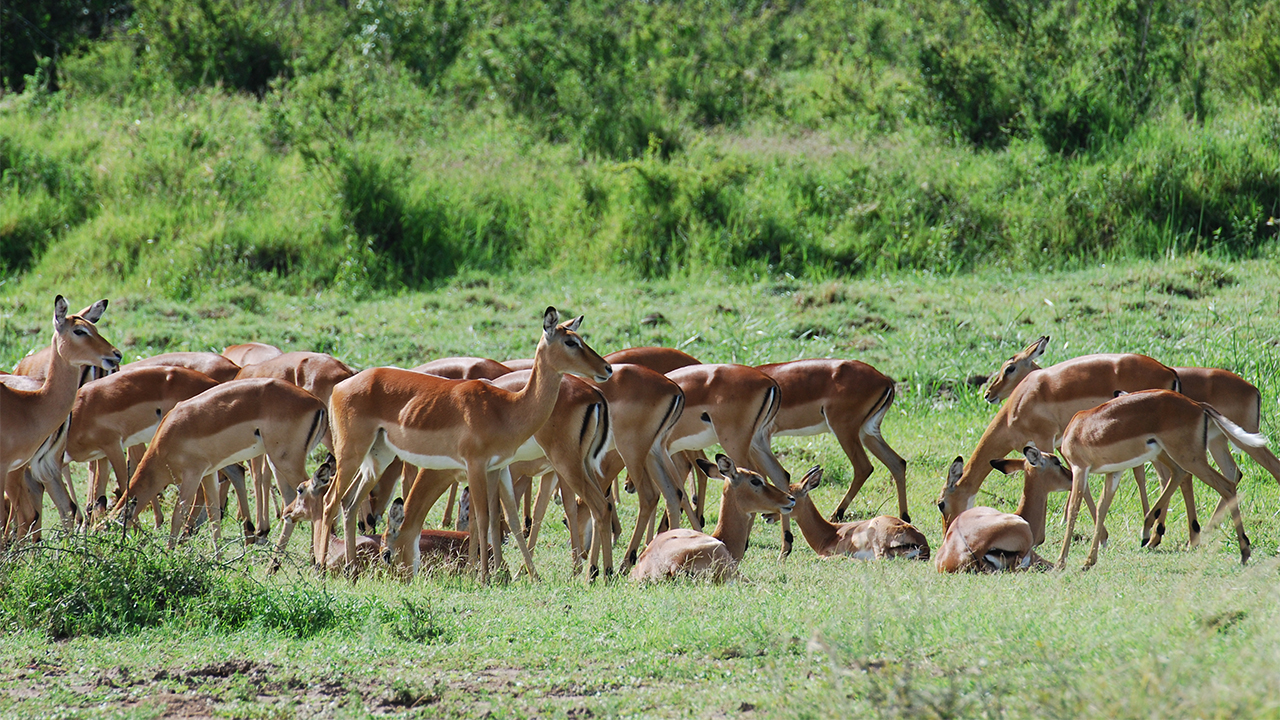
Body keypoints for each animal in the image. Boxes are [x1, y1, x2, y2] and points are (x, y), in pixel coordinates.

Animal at [111, 378, 327, 557]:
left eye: (110, 528)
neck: (168, 437)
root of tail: (318, 403)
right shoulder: (209, 472)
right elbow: (214, 514)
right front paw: (217, 560)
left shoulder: (192, 475)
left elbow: (178, 514)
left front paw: (168, 555)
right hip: (276, 462)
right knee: (291, 500)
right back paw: (275, 562)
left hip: (287, 462)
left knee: (315, 495)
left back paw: (312, 560)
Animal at [319, 308, 612, 582]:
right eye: (570, 342)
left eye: (580, 339)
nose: (606, 369)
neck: (507, 408)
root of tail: (342, 385)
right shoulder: (476, 466)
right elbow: (483, 518)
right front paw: (483, 576)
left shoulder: (493, 469)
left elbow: (495, 519)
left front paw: (491, 574)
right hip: (352, 455)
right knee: (330, 500)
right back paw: (322, 569)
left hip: (377, 458)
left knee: (349, 503)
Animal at [1056, 390, 1280, 569]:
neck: (1076, 429)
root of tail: (1198, 406)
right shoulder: (1114, 472)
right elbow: (1102, 509)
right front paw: (1088, 561)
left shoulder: (1079, 469)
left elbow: (1073, 511)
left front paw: (1061, 562)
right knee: (1203, 478)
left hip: (1190, 458)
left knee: (1225, 484)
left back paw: (1243, 552)